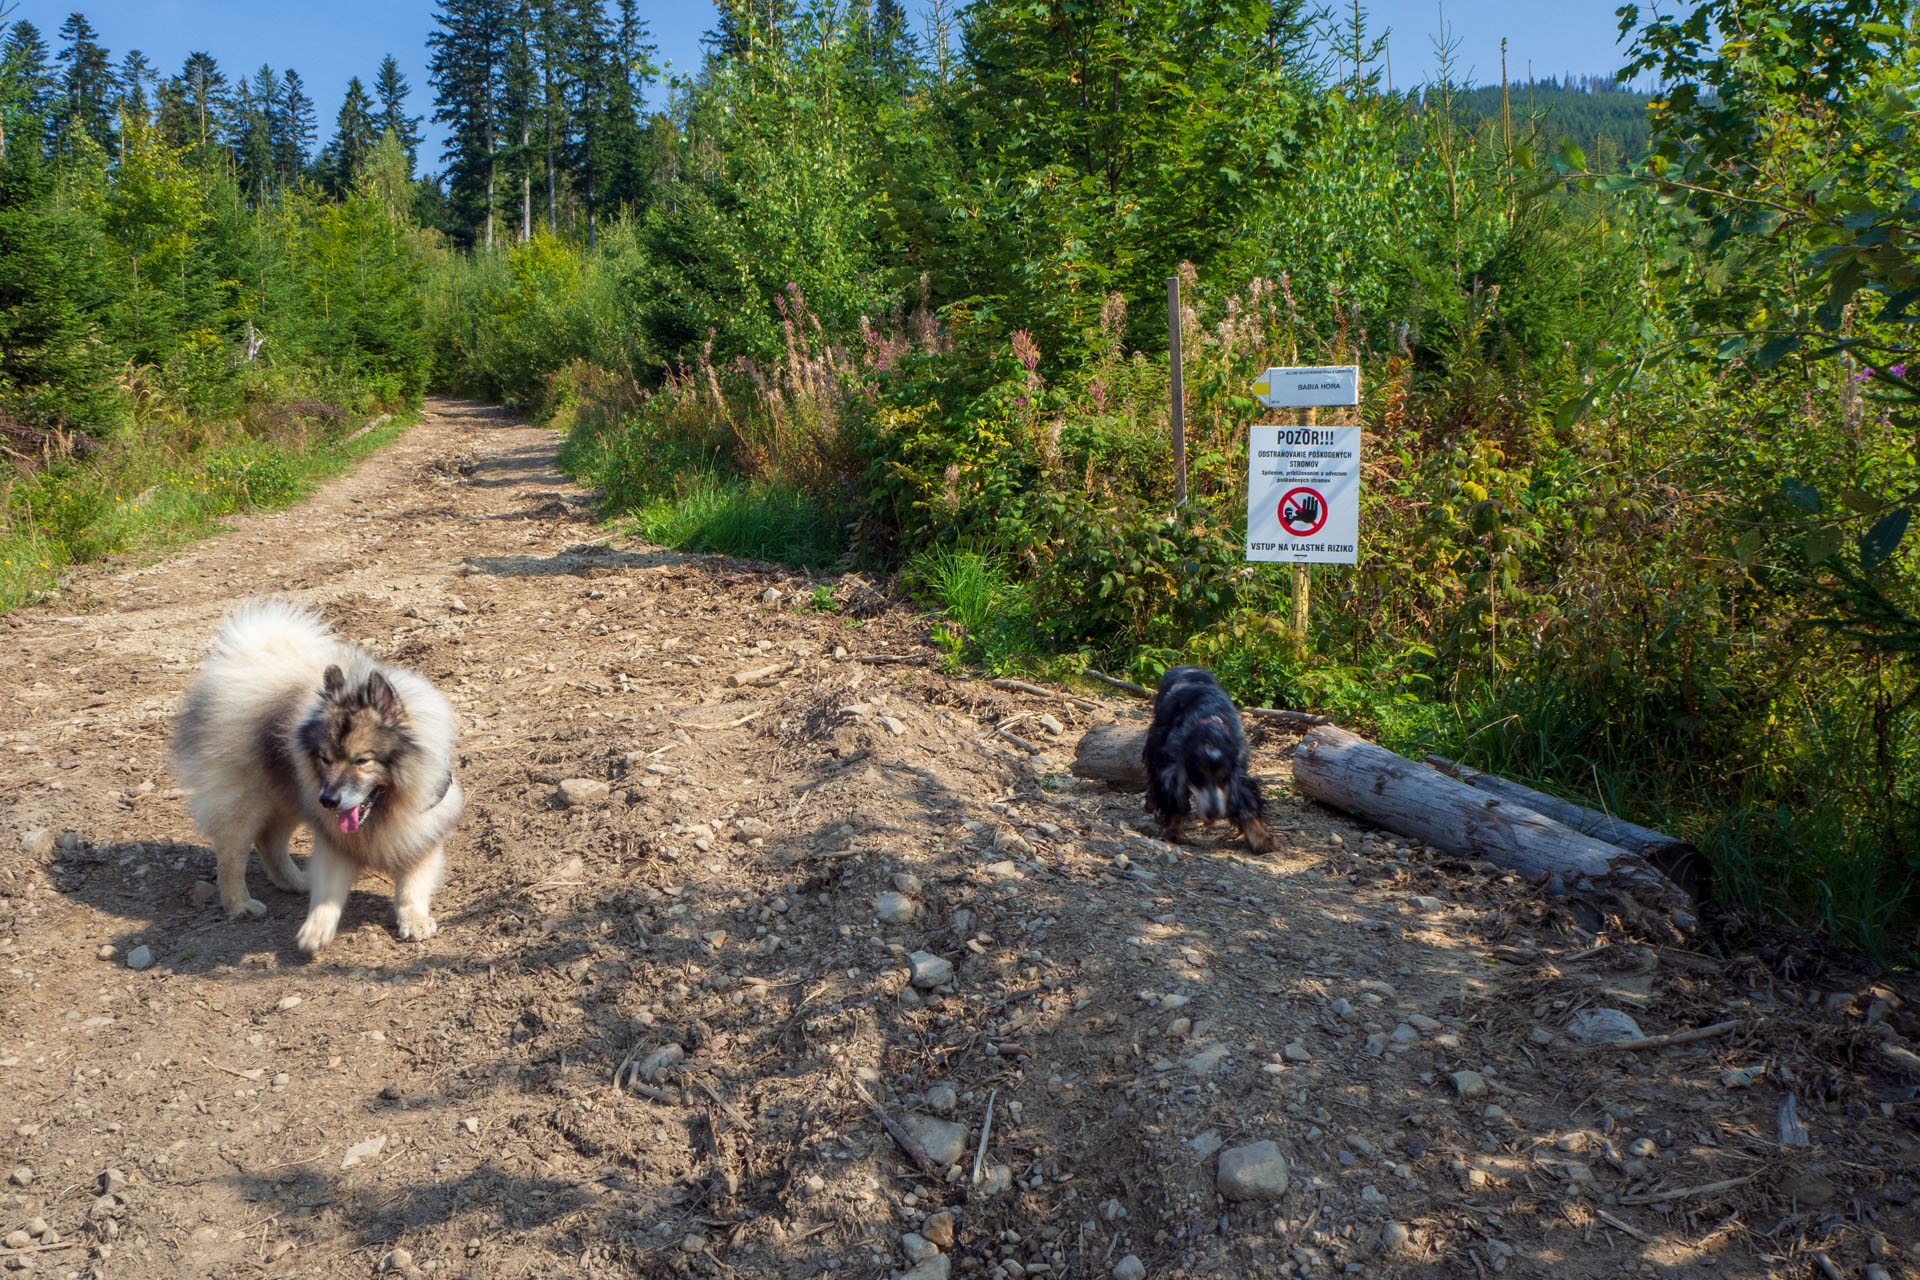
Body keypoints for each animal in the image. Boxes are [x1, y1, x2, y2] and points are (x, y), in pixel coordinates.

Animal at [175, 602, 468, 951]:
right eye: (325, 759)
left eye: (362, 760)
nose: (329, 800)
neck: (385, 808)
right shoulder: (333, 839)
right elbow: (329, 890)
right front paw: (317, 928)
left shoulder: (421, 833)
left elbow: (413, 884)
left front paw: (415, 919)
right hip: (249, 801)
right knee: (232, 856)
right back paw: (240, 904)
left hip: (290, 796)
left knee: (269, 841)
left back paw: (295, 881)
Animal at [1136, 667, 1274, 855]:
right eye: (1197, 779)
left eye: (1223, 780)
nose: (1214, 813)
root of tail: (1185, 666)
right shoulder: (1172, 760)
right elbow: (1175, 796)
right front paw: (1175, 831)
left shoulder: (1239, 766)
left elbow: (1246, 801)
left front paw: (1261, 839)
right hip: (1156, 737)